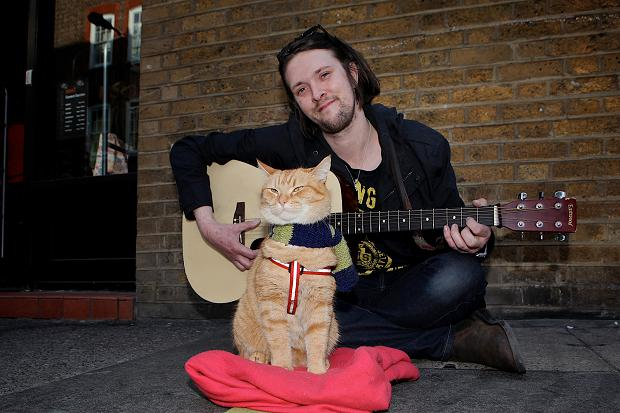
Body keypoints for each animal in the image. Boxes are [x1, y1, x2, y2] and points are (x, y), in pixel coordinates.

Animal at [232, 155, 358, 374]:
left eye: (298, 188)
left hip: (333, 325)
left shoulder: (320, 306)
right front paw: (282, 367)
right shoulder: (272, 304)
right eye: (273, 190)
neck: (297, 250)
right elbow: (279, 341)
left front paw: (317, 370)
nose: (281, 201)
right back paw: (260, 357)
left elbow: (317, 341)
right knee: (246, 352)